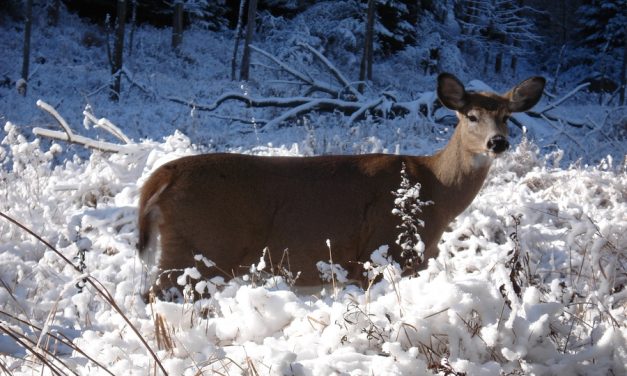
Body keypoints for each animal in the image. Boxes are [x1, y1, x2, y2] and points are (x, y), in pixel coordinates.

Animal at [137, 72, 544, 296]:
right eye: (471, 115)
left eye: (507, 117)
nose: (497, 143)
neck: (435, 189)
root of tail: (161, 177)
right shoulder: (382, 253)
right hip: (201, 247)